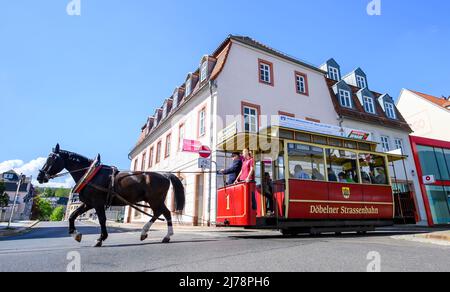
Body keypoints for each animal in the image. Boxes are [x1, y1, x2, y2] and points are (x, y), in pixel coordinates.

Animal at [37, 144, 185, 246]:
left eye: (51, 159)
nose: (39, 177)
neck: (91, 175)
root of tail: (164, 175)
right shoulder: (88, 203)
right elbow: (72, 215)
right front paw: (76, 234)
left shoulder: (97, 203)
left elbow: (102, 219)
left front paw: (100, 239)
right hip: (155, 200)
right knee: (161, 213)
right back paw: (152, 234)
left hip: (155, 200)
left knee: (163, 213)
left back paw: (158, 234)